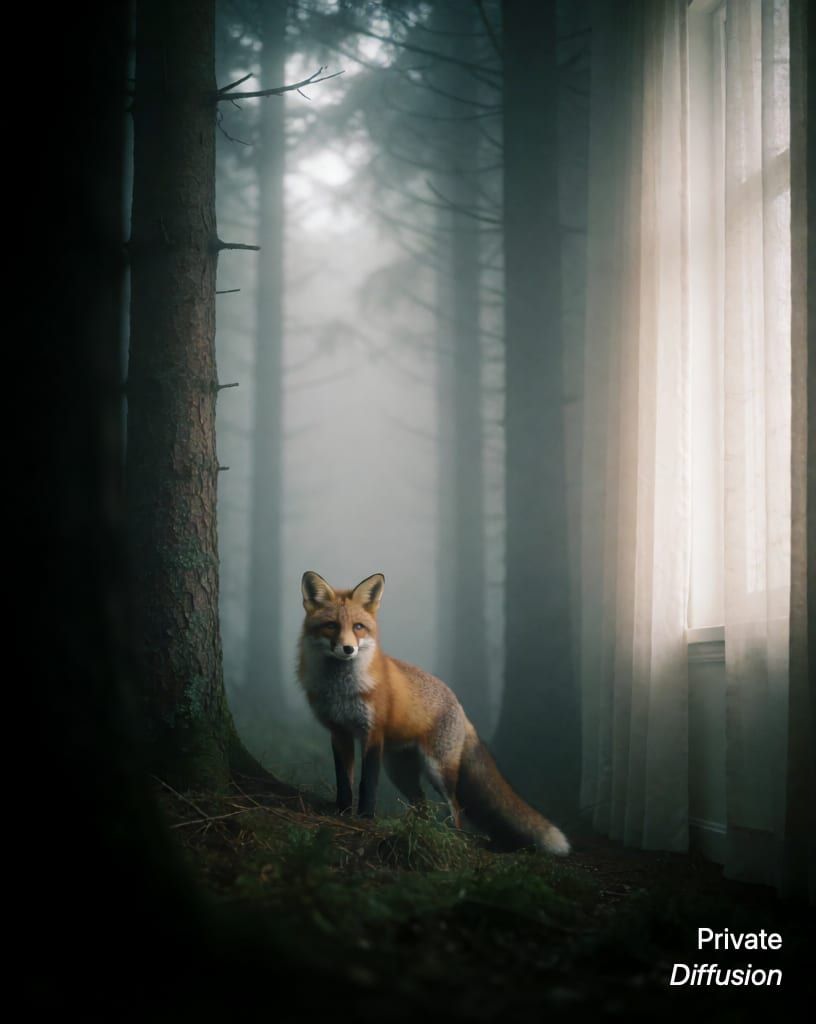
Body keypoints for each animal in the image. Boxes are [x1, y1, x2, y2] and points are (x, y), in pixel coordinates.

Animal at [297, 571, 570, 855]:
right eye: (331, 626)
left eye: (358, 627)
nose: (348, 649)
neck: (341, 689)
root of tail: (459, 706)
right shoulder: (339, 732)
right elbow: (344, 781)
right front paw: (342, 812)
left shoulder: (373, 734)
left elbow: (367, 783)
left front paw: (366, 819)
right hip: (399, 771)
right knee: (423, 805)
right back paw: (416, 831)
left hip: (437, 768)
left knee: (456, 808)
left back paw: (453, 837)